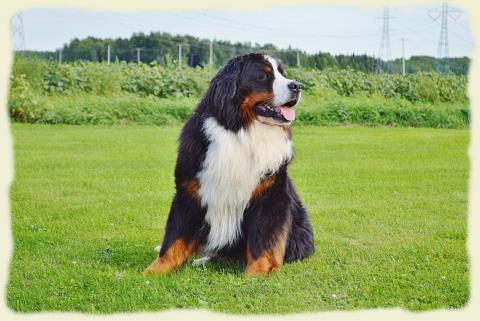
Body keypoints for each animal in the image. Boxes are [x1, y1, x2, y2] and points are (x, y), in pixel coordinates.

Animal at [142, 53, 316, 276]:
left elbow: (263, 241)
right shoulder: (189, 192)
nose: (297, 86)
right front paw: (153, 271)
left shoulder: (269, 197)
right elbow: (173, 239)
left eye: (283, 74)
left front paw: (256, 273)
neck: (242, 131)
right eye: (264, 76)